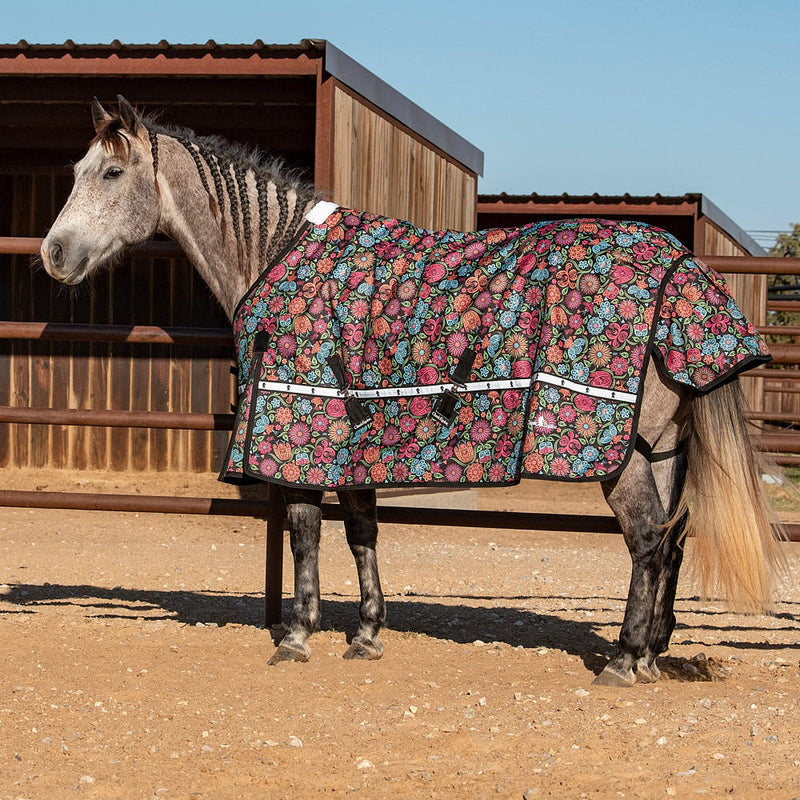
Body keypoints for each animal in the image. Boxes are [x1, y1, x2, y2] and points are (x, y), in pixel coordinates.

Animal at [40, 96, 784, 687]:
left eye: (111, 173)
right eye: (75, 173)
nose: (53, 253)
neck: (276, 253)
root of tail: (682, 267)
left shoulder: (304, 433)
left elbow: (305, 532)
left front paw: (297, 636)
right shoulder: (356, 439)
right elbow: (363, 532)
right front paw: (367, 634)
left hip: (622, 456)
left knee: (648, 541)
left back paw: (625, 662)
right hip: (664, 449)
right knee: (674, 542)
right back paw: (652, 653)